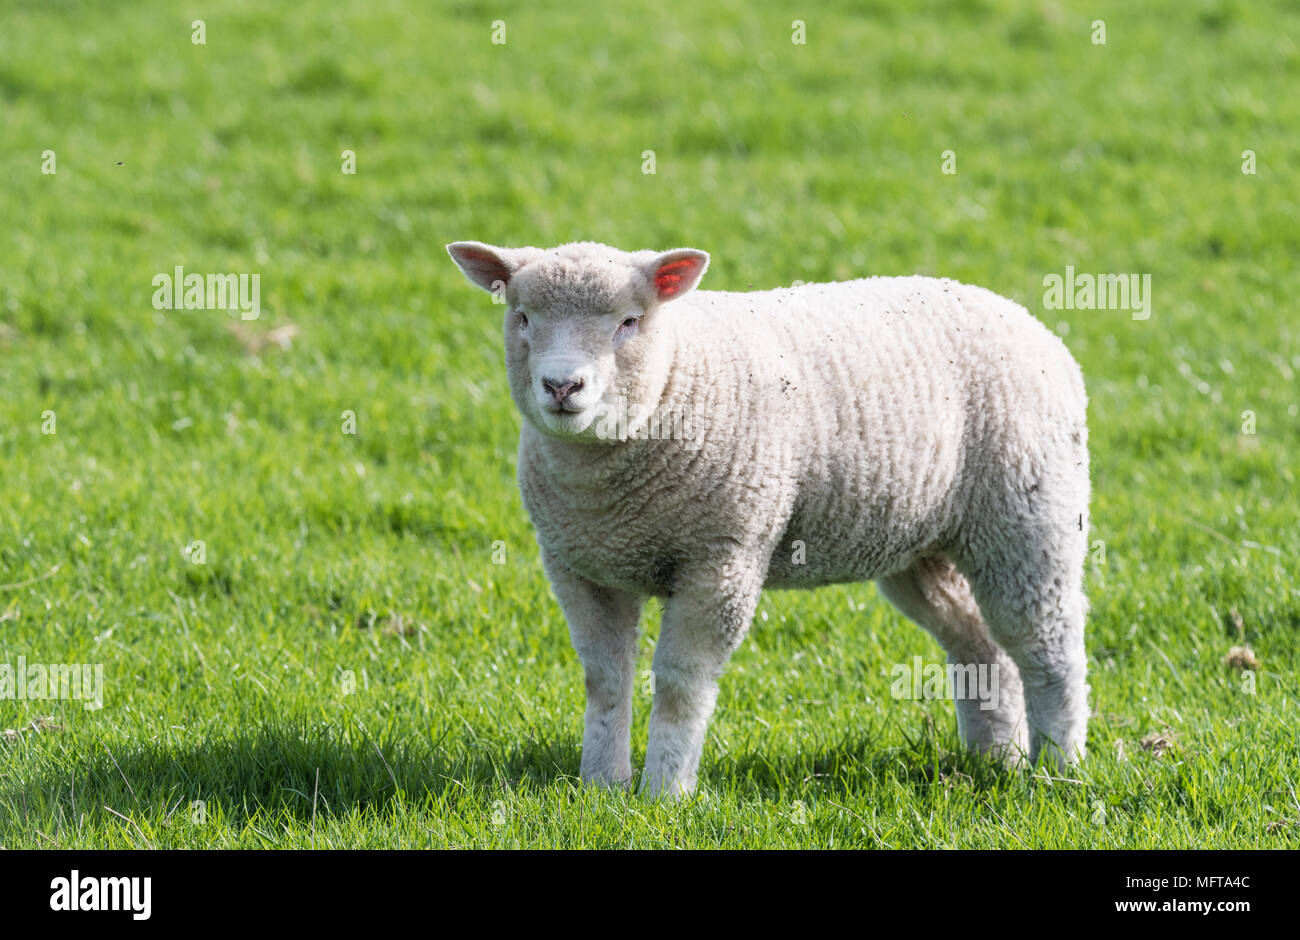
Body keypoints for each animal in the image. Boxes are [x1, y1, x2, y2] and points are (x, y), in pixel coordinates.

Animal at [447, 240, 1091, 799]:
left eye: (628, 322)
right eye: (523, 317)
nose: (562, 386)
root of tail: (1023, 318)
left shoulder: (721, 559)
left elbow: (680, 683)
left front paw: (664, 793)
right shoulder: (579, 567)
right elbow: (605, 681)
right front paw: (601, 786)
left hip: (1028, 520)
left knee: (1049, 649)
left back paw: (1057, 770)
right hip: (920, 546)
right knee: (980, 646)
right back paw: (996, 758)